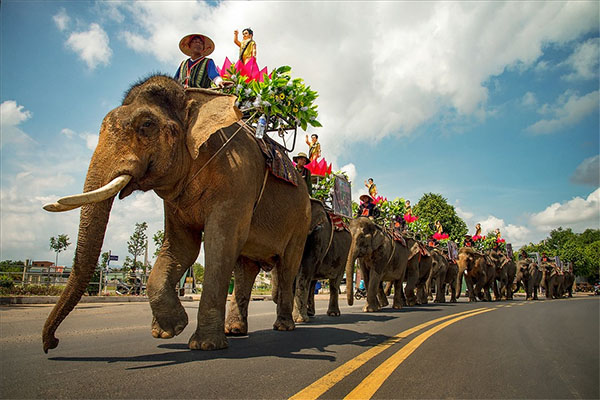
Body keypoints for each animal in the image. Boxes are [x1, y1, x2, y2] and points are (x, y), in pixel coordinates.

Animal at [41, 76, 312, 354]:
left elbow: (220, 243)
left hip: (301, 222)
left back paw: (283, 327)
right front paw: (169, 330)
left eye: (147, 125)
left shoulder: (237, 181)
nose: (52, 343)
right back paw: (235, 330)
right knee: (245, 268)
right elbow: (183, 247)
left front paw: (204, 345)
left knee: (288, 266)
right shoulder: (176, 199)